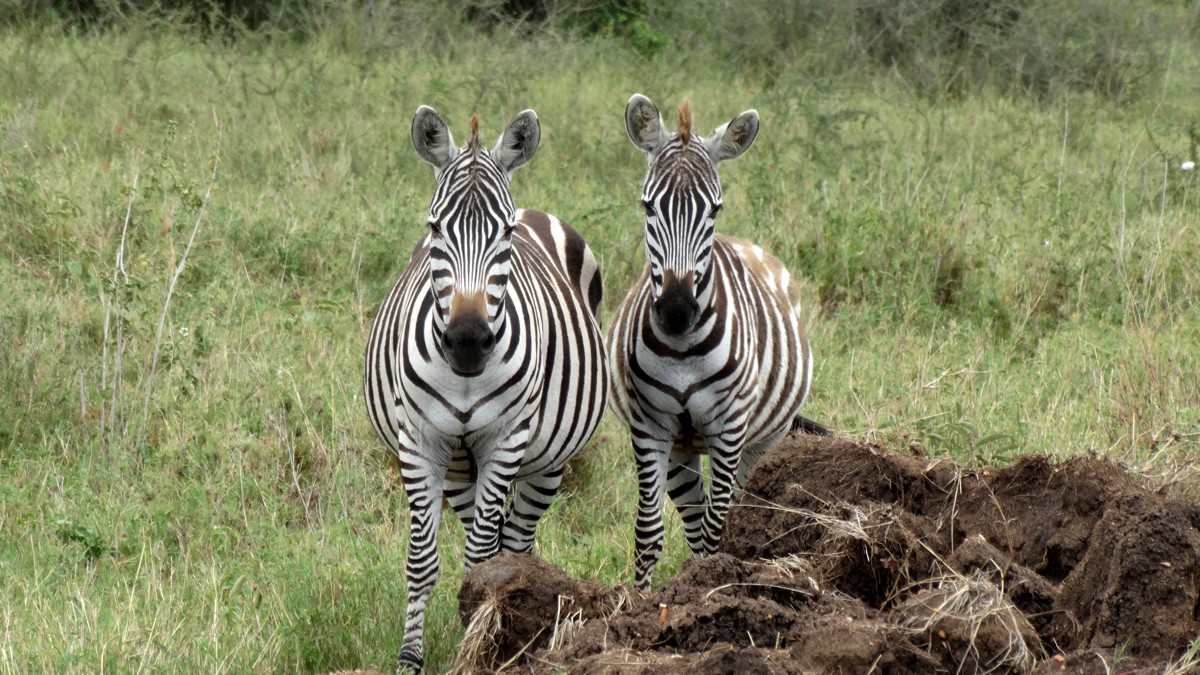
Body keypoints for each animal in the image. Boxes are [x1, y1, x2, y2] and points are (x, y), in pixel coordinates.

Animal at [362, 105, 609, 672]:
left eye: (505, 234)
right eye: (434, 229)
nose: (468, 340)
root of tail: (540, 209)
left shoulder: (505, 440)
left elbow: (481, 557)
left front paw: (475, 646)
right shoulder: (420, 441)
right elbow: (422, 558)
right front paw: (412, 657)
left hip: (548, 459)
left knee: (513, 539)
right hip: (457, 464)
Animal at [609, 94, 825, 588]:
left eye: (714, 210)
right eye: (648, 207)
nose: (675, 311)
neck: (682, 350)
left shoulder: (729, 427)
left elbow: (718, 525)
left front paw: (714, 585)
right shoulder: (650, 426)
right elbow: (649, 532)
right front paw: (643, 601)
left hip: (764, 438)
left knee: (735, 506)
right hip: (681, 447)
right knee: (691, 514)